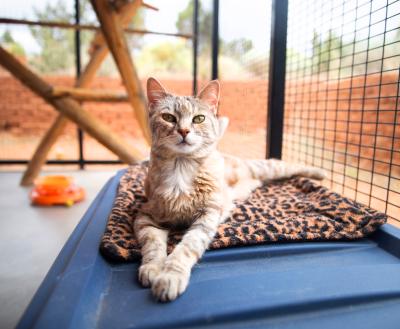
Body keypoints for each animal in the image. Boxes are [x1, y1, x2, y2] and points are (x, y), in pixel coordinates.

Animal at [134, 77, 324, 300]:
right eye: (168, 117)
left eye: (199, 118)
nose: (184, 131)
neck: (181, 169)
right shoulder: (146, 216)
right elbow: (153, 245)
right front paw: (153, 268)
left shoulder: (207, 216)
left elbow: (188, 247)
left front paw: (170, 276)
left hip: (264, 167)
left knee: (285, 165)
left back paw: (320, 172)